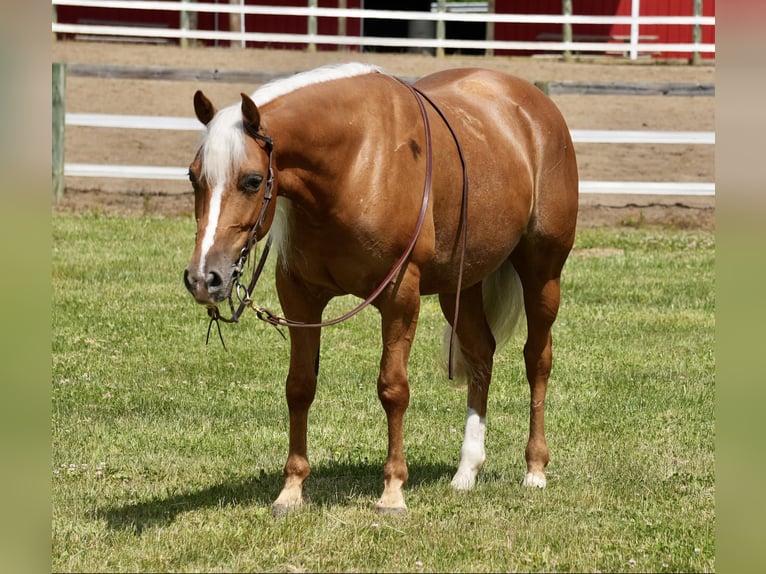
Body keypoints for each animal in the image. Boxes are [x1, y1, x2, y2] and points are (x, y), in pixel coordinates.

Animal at [183, 64, 580, 516]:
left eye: (251, 181)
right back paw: (466, 471)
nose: (204, 277)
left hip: (542, 272)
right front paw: (292, 490)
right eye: (193, 177)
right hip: (461, 285)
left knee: (537, 359)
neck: (353, 164)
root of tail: (536, 106)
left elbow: (393, 388)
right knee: (481, 356)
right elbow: (299, 387)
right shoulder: (299, 297)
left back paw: (535, 468)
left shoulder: (399, 296)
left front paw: (392, 491)